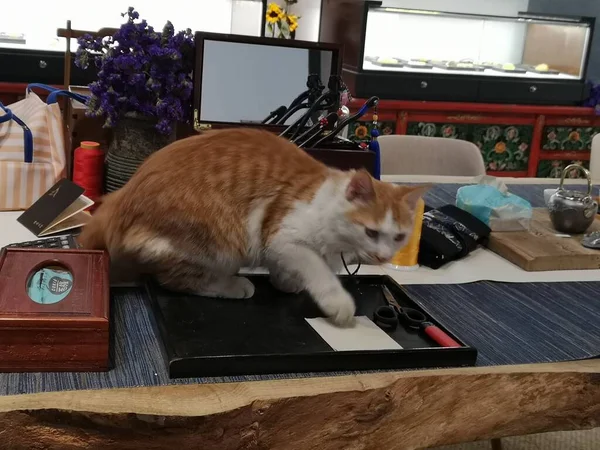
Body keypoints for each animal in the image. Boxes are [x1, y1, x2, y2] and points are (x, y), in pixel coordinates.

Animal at [79, 128, 426, 326]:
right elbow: (318, 271)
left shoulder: (276, 246)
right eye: (371, 232)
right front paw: (336, 302)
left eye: (398, 237)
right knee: (176, 280)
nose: (383, 257)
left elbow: (285, 268)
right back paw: (234, 286)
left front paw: (286, 282)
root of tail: (120, 197)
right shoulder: (287, 238)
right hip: (219, 241)